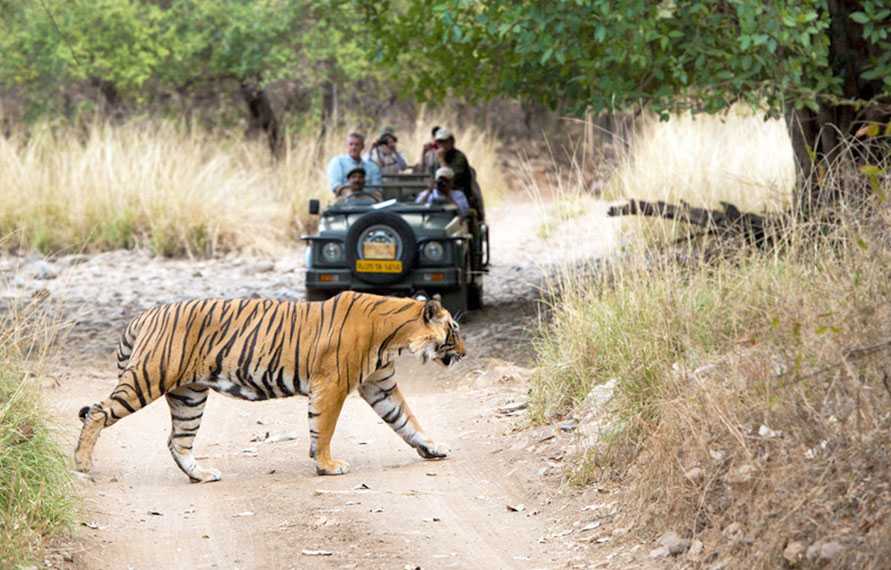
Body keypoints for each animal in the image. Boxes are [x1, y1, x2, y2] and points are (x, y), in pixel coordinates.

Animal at [75, 290, 466, 482]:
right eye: (454, 330)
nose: (464, 353)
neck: (394, 337)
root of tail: (144, 314)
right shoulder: (332, 384)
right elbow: (324, 428)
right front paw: (327, 465)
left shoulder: (379, 385)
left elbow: (407, 420)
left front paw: (432, 448)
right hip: (149, 377)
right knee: (98, 411)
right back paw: (81, 465)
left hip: (189, 396)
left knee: (177, 442)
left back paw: (201, 475)